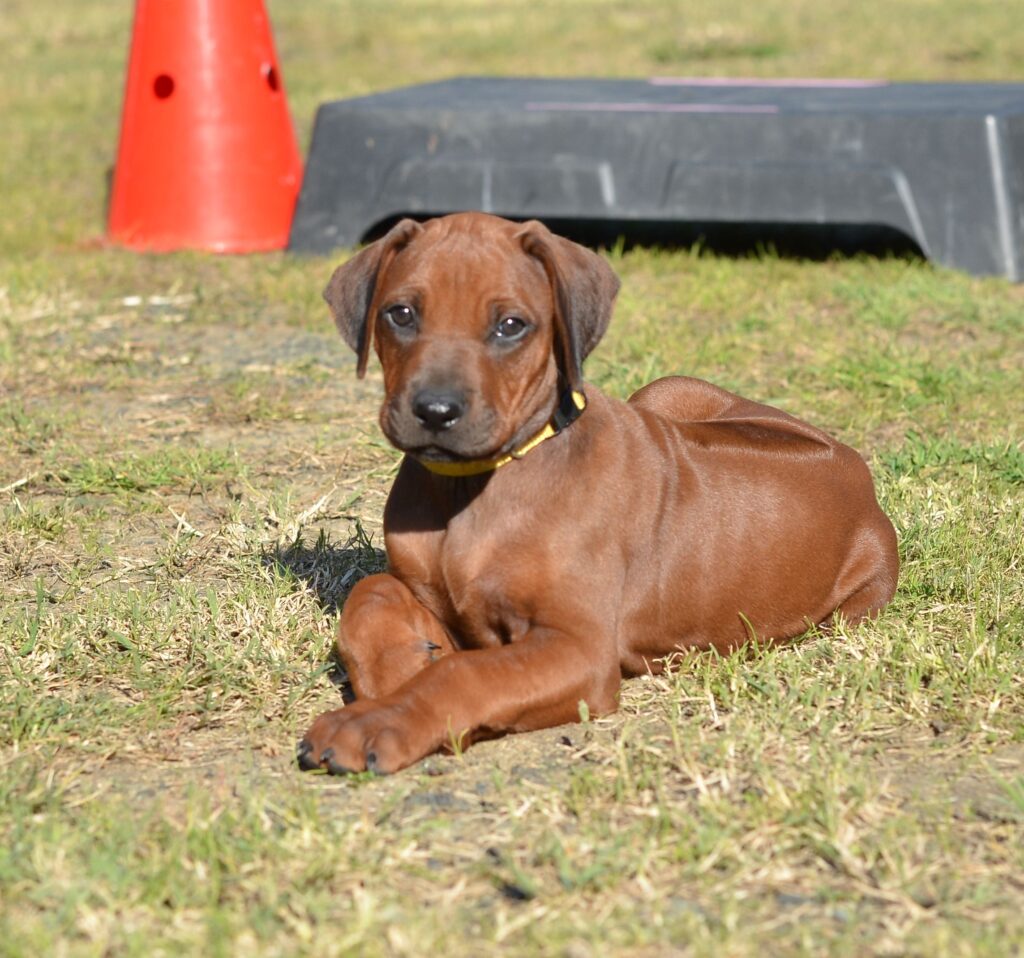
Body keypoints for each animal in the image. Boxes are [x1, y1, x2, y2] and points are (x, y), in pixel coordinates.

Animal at [296, 212, 897, 773]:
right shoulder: (434, 594)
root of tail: (858, 472)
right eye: (400, 314)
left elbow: (463, 672)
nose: (435, 411)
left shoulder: (578, 648)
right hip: (665, 390)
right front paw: (396, 671)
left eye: (510, 325)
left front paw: (378, 719)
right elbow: (371, 591)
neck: (473, 487)